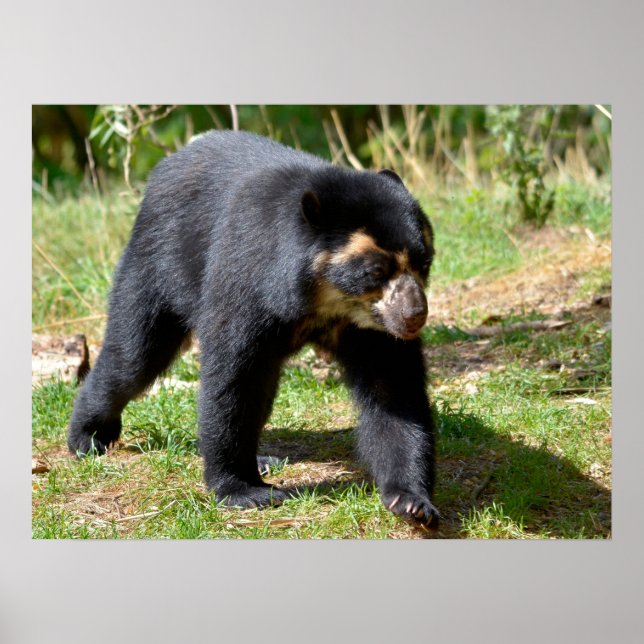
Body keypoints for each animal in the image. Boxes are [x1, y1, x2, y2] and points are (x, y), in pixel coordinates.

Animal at [67, 130, 439, 528]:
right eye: (375, 271)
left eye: (424, 262)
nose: (415, 315)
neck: (323, 303)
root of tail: (171, 161)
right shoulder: (247, 279)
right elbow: (233, 380)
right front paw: (244, 491)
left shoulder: (373, 329)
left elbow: (393, 390)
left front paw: (411, 502)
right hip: (157, 263)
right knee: (135, 355)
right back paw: (87, 438)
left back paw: (263, 458)